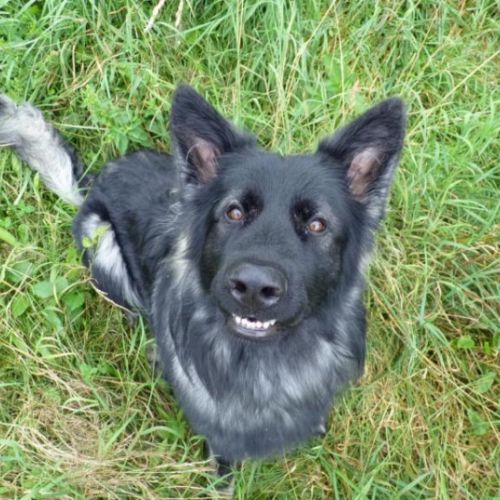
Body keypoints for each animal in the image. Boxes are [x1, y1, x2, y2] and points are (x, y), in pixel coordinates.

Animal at [0, 86, 405, 483]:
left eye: (317, 224)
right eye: (234, 212)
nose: (254, 287)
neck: (263, 362)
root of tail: (96, 181)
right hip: (102, 244)